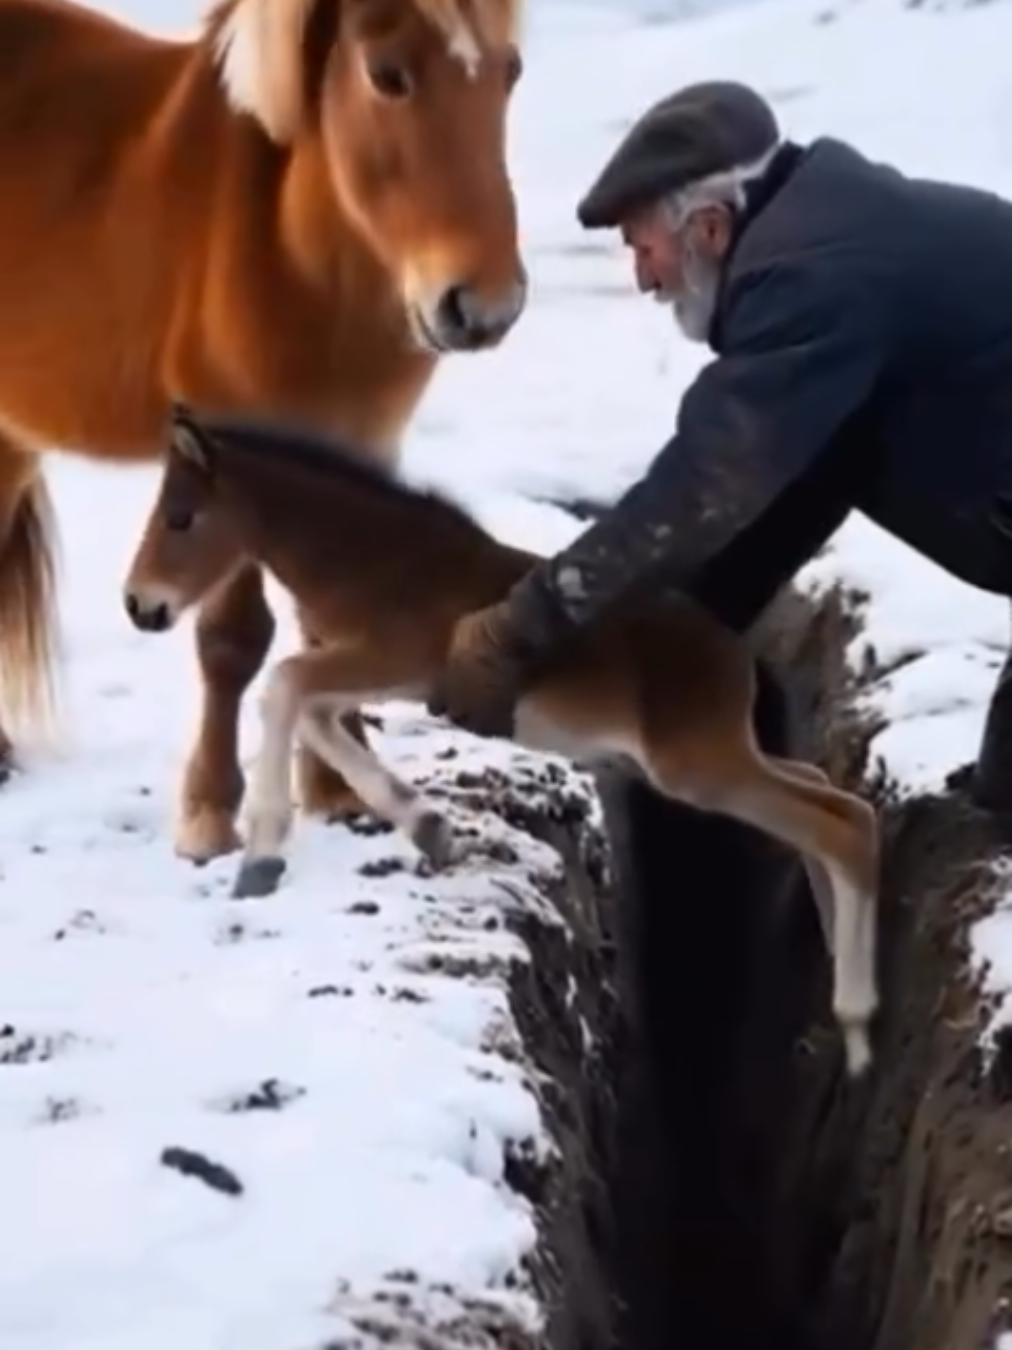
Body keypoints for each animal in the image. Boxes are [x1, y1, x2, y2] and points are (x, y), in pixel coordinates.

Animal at [0, 0, 526, 863]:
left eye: (510, 72)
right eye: (387, 74)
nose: (483, 307)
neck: (297, 263)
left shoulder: (357, 452)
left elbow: (330, 618)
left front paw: (342, 793)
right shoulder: (227, 453)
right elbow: (232, 639)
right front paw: (210, 816)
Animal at [123, 403, 881, 1077]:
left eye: (181, 517)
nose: (139, 605)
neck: (373, 559)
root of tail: (735, 654)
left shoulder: (391, 661)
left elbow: (284, 687)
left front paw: (261, 857)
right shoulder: (391, 678)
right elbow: (314, 713)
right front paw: (427, 827)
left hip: (696, 767)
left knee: (843, 825)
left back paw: (857, 1023)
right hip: (717, 757)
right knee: (827, 796)